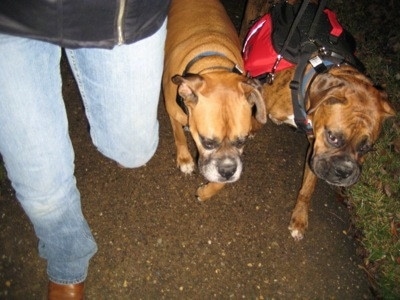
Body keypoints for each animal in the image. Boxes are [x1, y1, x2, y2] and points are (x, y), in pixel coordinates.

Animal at [161, 0, 268, 202]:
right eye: (207, 142)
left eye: (241, 141)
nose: (227, 171)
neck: (213, 63)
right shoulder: (172, 111)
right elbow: (179, 136)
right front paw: (185, 159)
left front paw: (207, 191)